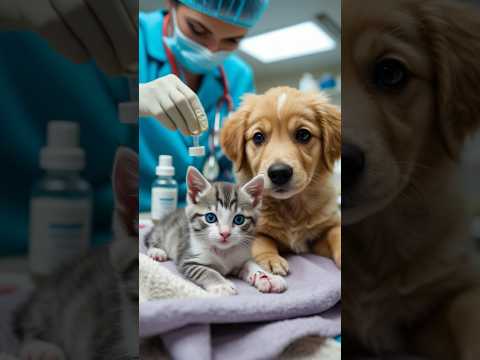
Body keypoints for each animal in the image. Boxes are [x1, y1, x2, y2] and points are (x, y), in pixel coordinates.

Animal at [144, 166, 286, 296]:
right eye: (210, 218)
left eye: (239, 219)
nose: (225, 233)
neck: (223, 252)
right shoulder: (188, 260)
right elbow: (207, 271)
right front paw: (221, 285)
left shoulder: (242, 257)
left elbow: (252, 264)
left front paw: (267, 277)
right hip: (163, 230)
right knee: (151, 239)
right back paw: (156, 251)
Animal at [219, 87, 340, 276]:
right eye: (258, 137)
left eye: (303, 134)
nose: (279, 173)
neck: (291, 208)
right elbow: (262, 241)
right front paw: (271, 259)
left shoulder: (328, 225)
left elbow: (336, 234)